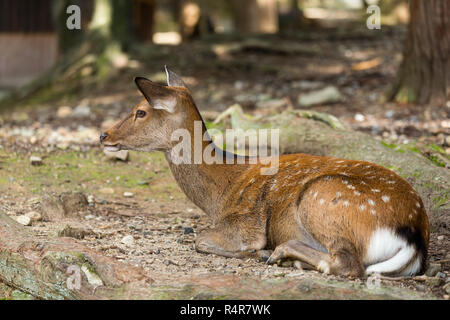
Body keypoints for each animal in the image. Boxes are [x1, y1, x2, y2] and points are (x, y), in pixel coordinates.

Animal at [100, 67, 430, 278]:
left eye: (141, 111)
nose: (103, 134)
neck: (220, 195)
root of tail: (414, 235)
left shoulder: (245, 222)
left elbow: (201, 240)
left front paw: (254, 252)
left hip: (322, 197)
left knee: (348, 264)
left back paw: (279, 254)